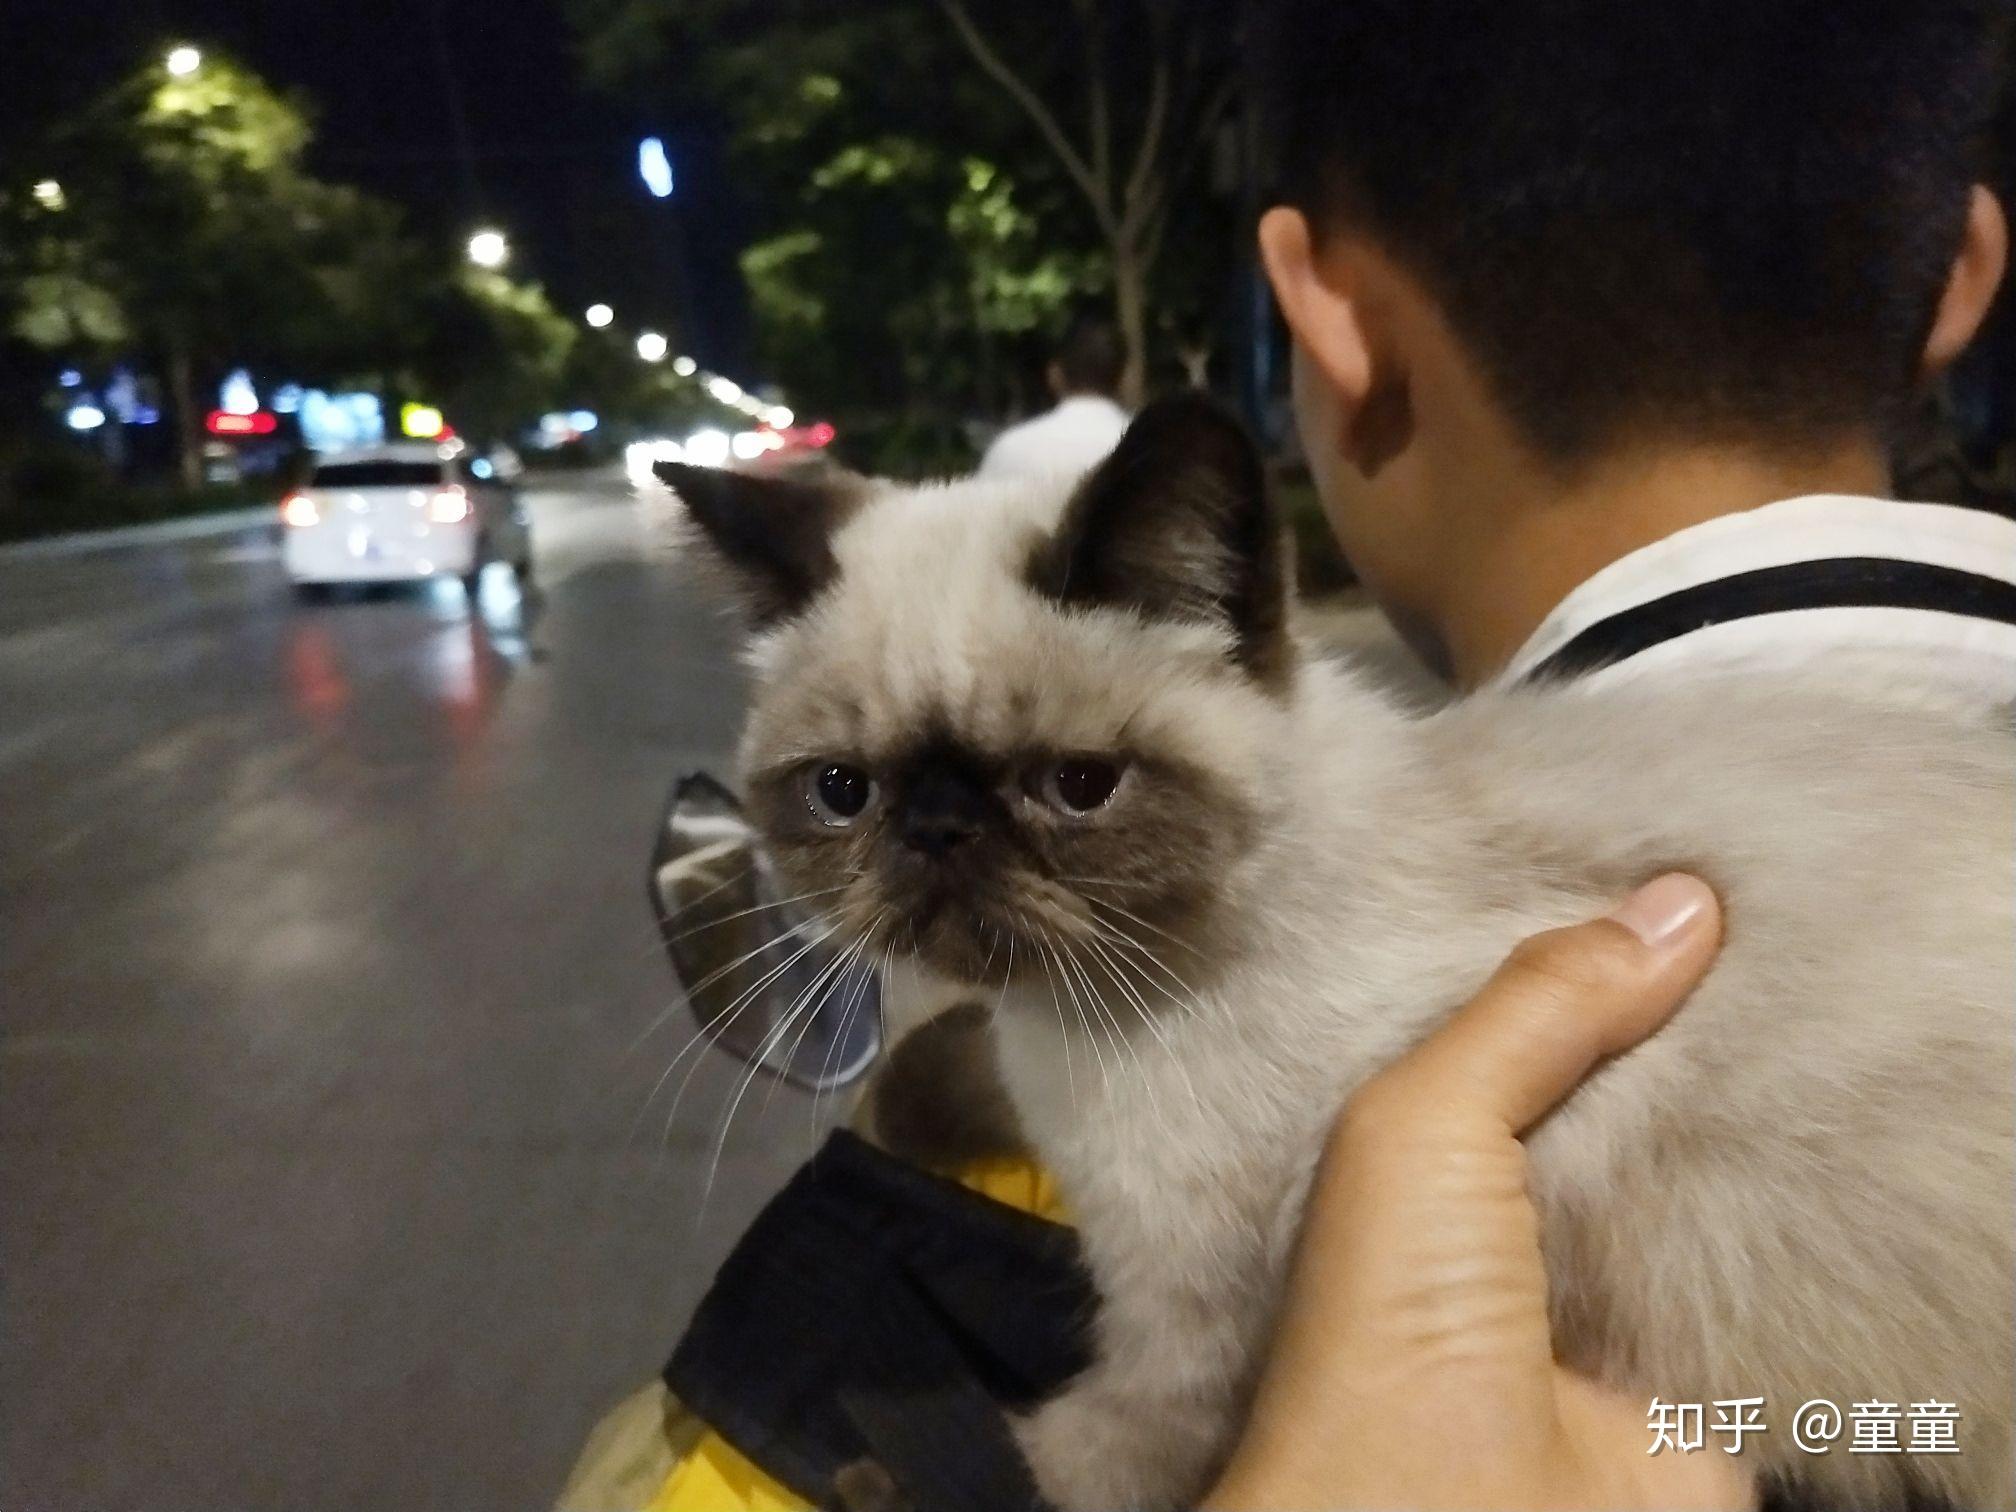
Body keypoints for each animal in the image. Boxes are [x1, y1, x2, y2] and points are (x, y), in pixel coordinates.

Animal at [653, 399, 2007, 1512]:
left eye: (1080, 788)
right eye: (842, 792)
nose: (936, 830)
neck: (1090, 1028)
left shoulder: (1189, 1322)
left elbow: (1074, 1463)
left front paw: (881, 1468)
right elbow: (952, 1064)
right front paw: (909, 1102)